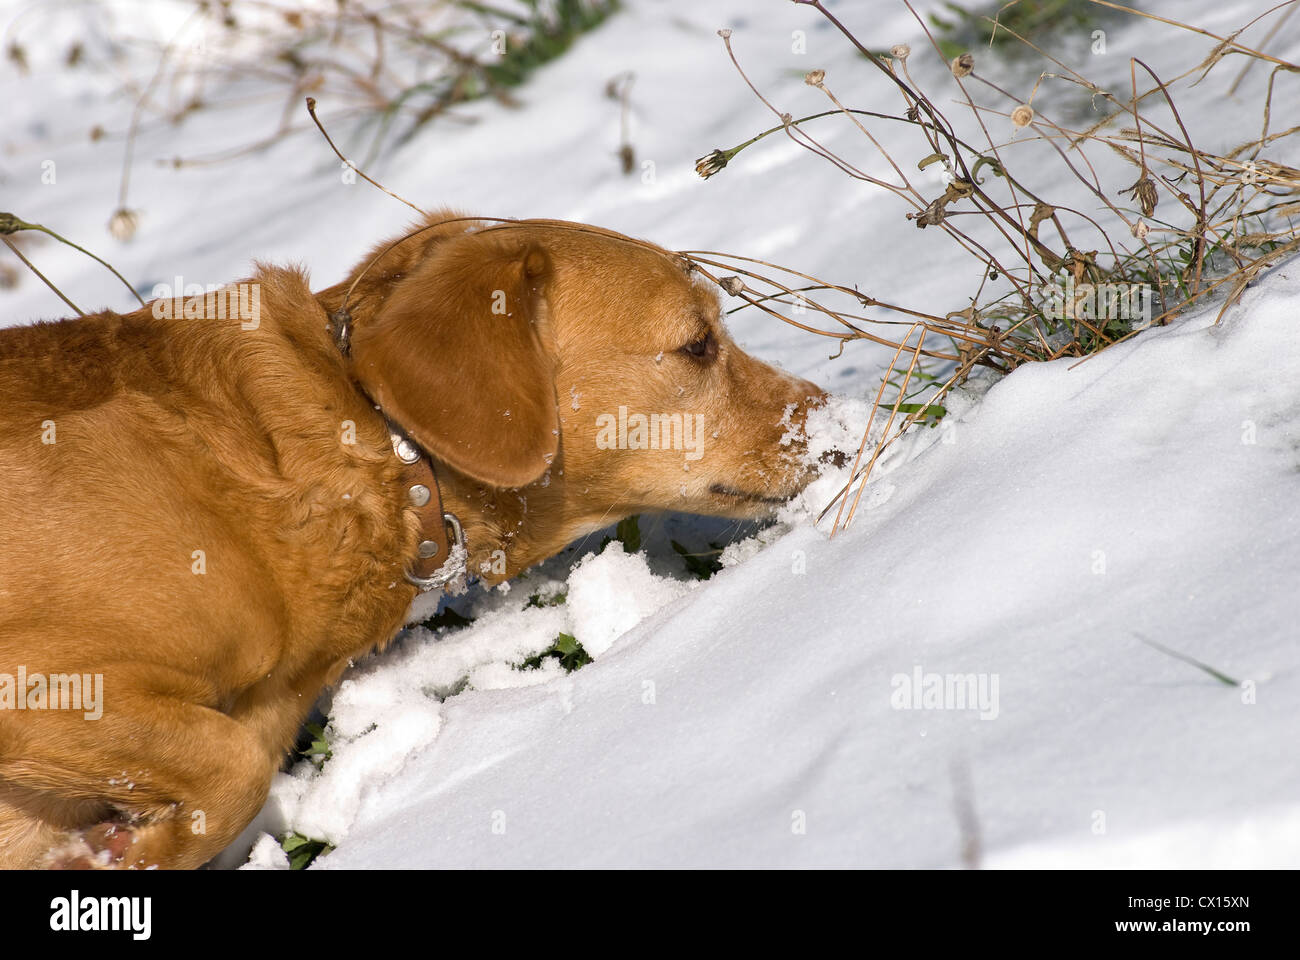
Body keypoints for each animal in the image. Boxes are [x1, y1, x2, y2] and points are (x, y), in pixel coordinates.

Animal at [0, 210, 826, 868]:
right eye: (697, 345)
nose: (834, 416)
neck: (377, 440)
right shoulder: (39, 683)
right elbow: (233, 768)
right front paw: (120, 853)